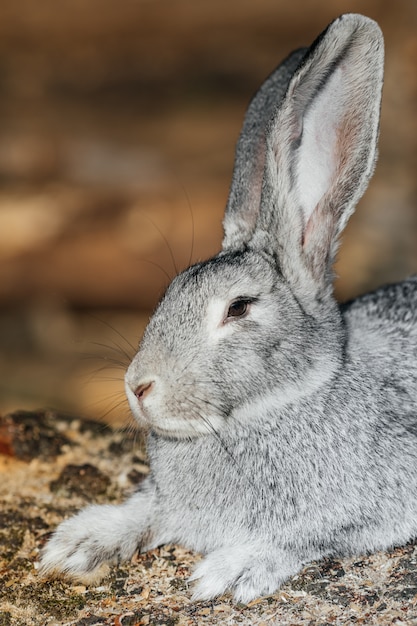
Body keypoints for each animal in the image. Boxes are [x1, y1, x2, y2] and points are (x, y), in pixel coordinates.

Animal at [39, 13, 416, 600]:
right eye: (171, 290)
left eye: (238, 308)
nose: (138, 387)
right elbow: (147, 507)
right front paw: (79, 541)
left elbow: (305, 538)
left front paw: (229, 571)